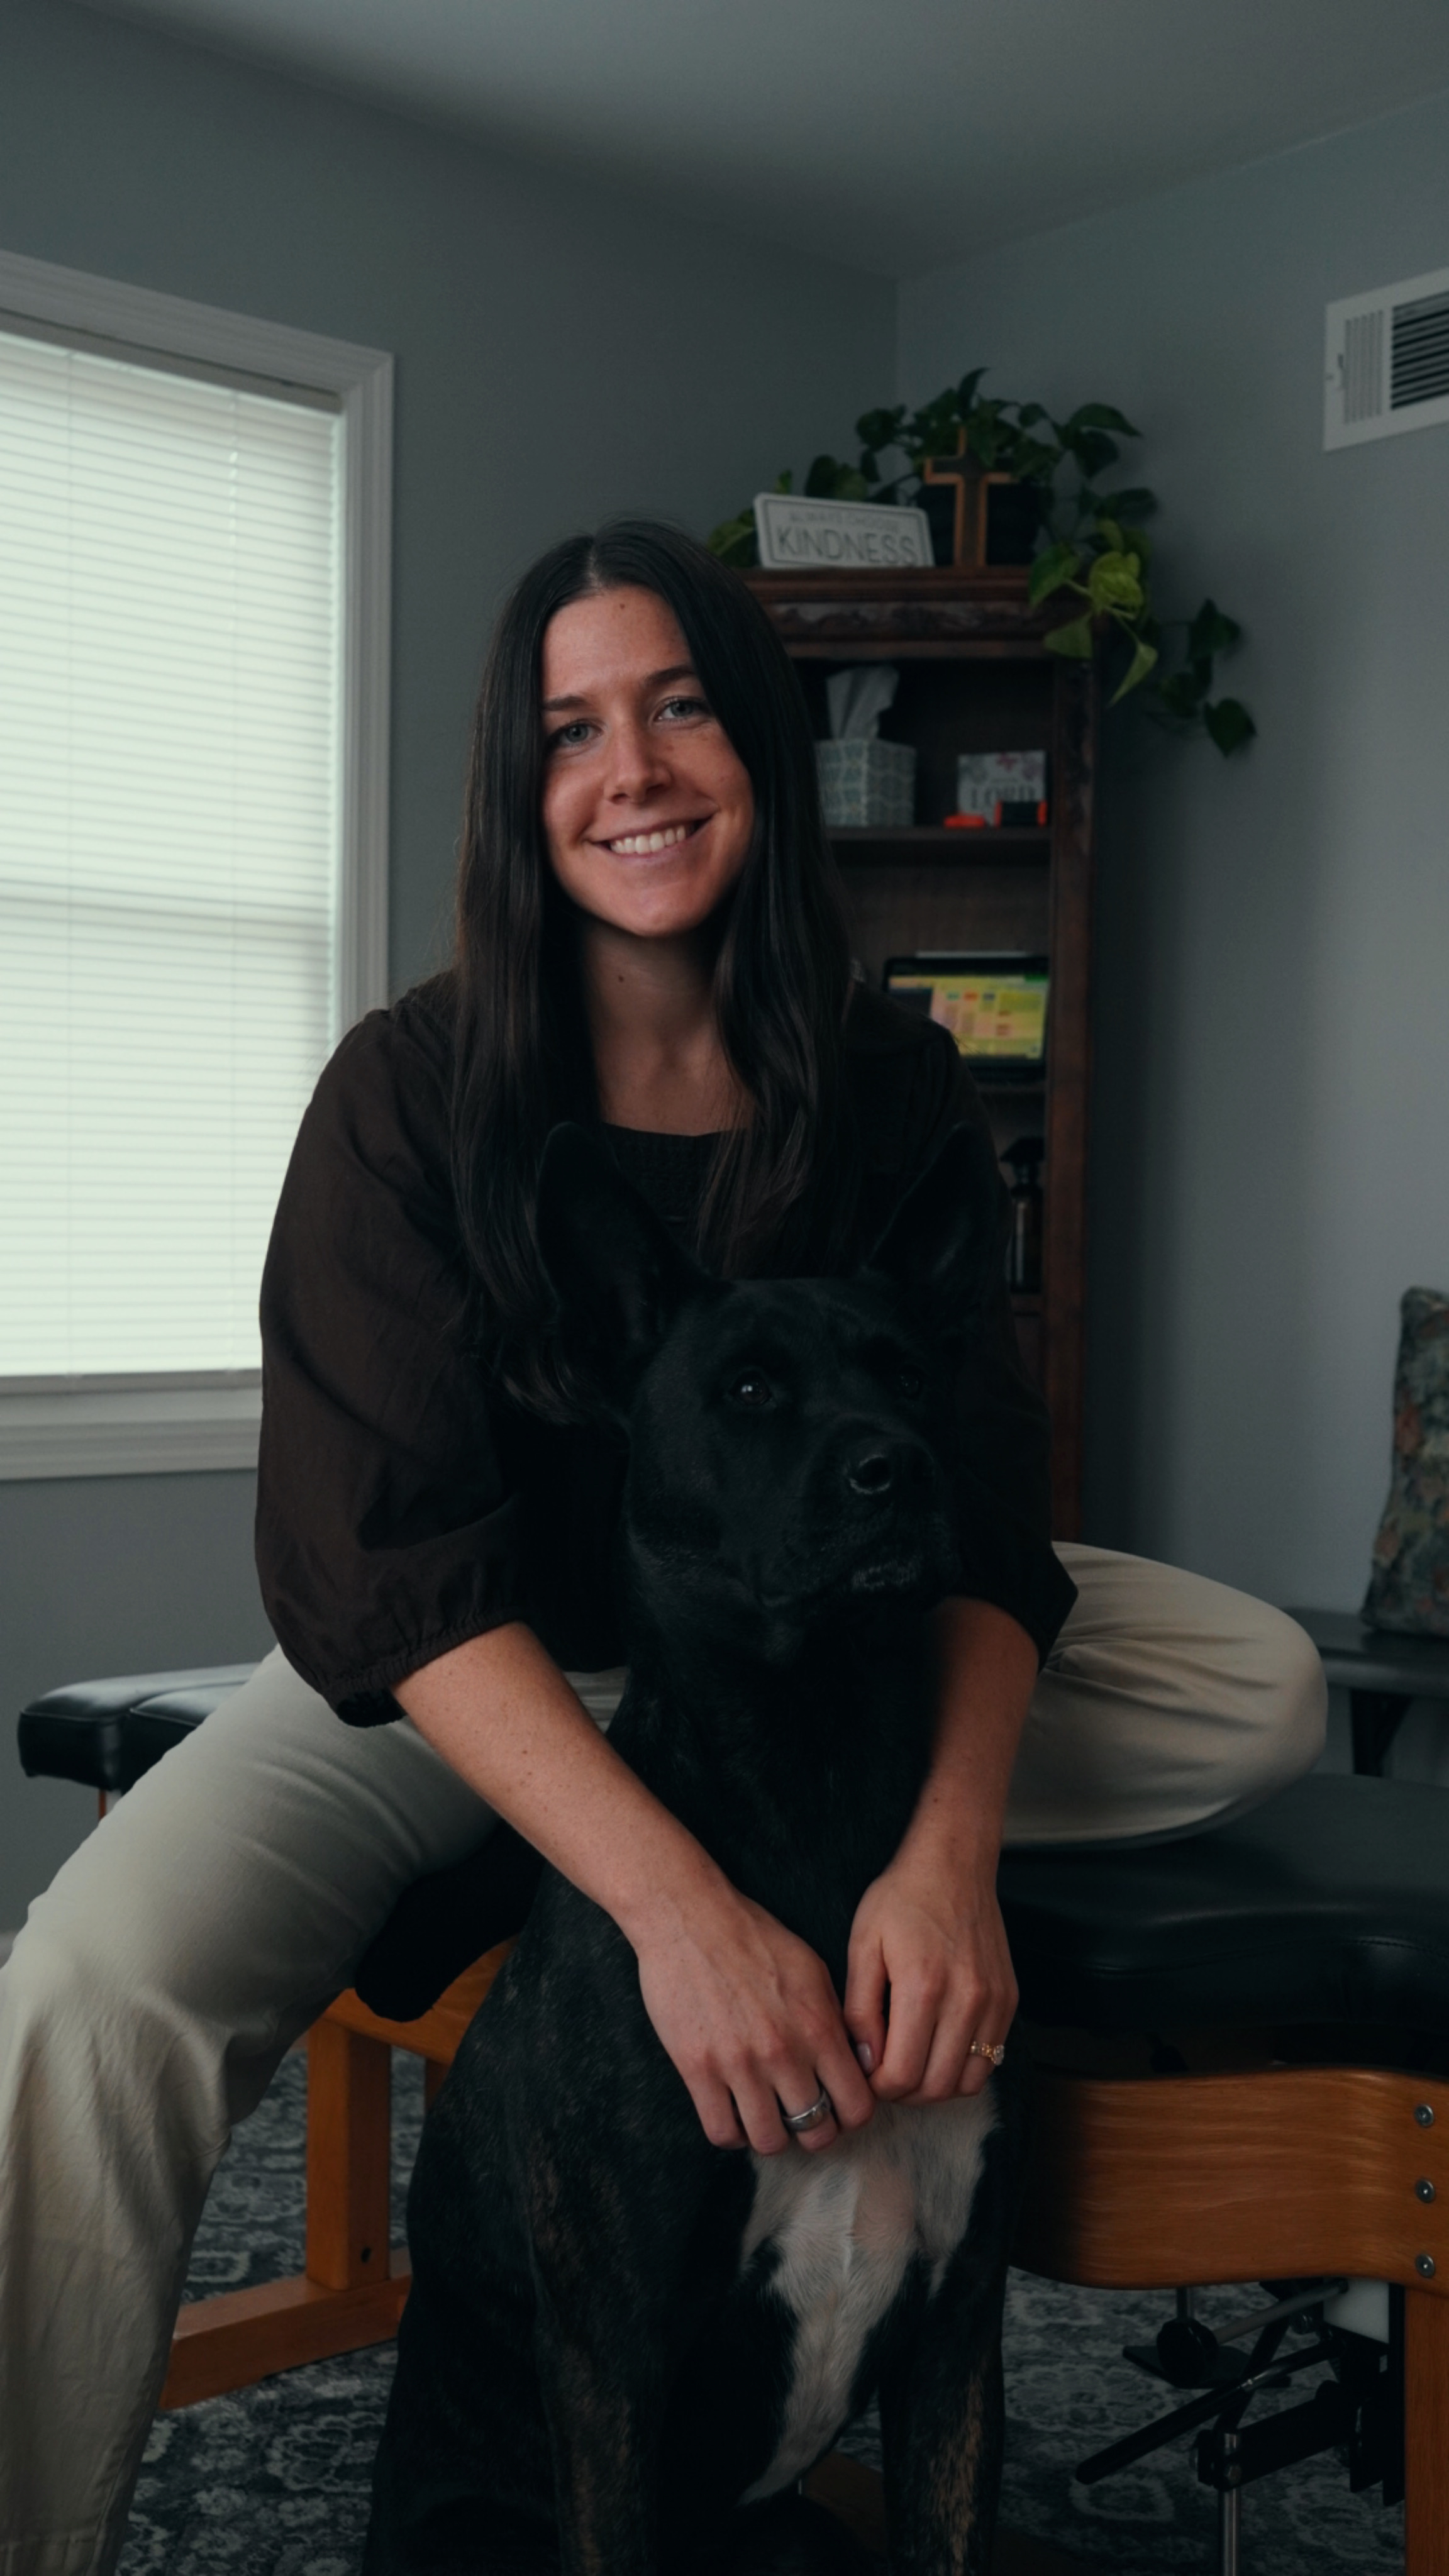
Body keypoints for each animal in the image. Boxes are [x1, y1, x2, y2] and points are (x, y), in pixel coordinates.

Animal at [362, 1120, 1029, 2576]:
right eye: (749, 1388)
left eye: (909, 1375)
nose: (899, 1463)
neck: (812, 1755)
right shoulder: (613, 2353)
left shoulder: (961, 2321)